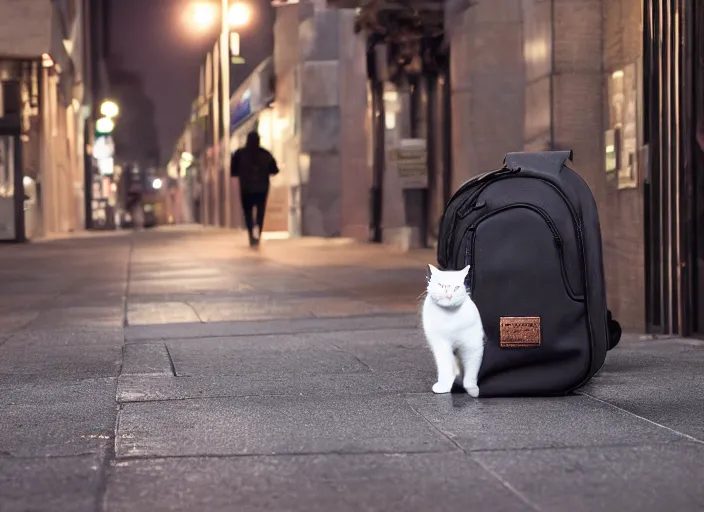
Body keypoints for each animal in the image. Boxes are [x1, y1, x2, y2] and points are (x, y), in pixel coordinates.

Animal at [420, 264, 486, 396]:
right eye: (441, 285)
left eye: (456, 288)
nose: (449, 295)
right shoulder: (441, 345)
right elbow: (445, 367)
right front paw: (444, 386)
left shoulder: (473, 347)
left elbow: (471, 374)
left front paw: (473, 390)